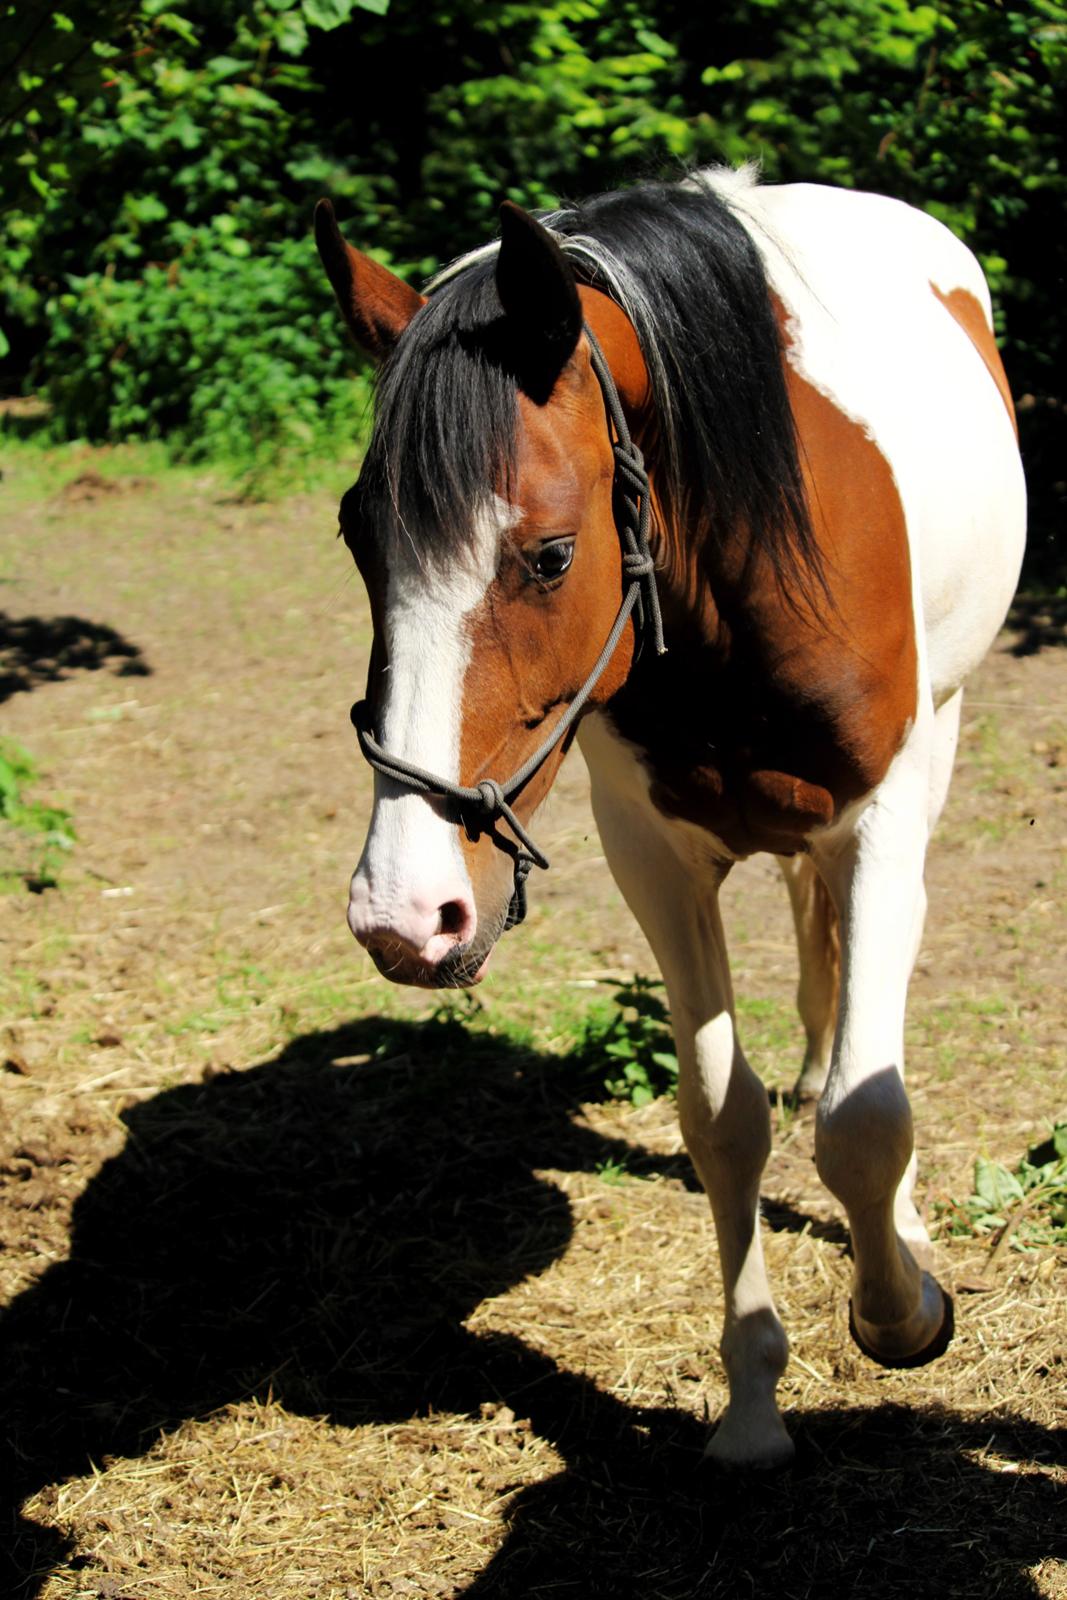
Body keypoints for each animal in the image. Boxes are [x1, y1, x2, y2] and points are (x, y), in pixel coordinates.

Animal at [315, 168, 1023, 1465]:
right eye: (357, 535)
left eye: (549, 555)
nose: (405, 912)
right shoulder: (652, 852)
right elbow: (721, 1120)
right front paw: (750, 1404)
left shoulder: (878, 819)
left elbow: (863, 1119)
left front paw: (900, 1311)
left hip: (936, 746)